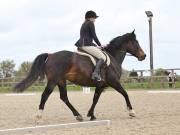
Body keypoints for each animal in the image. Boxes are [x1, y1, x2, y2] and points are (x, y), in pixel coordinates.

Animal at [14, 30, 146, 121]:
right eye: (136, 43)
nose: (143, 56)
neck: (113, 57)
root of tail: (51, 55)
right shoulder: (113, 82)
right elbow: (125, 93)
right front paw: (132, 112)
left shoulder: (101, 85)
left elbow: (95, 99)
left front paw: (91, 115)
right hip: (53, 80)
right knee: (45, 95)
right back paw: (38, 115)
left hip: (61, 81)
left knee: (64, 97)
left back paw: (78, 115)